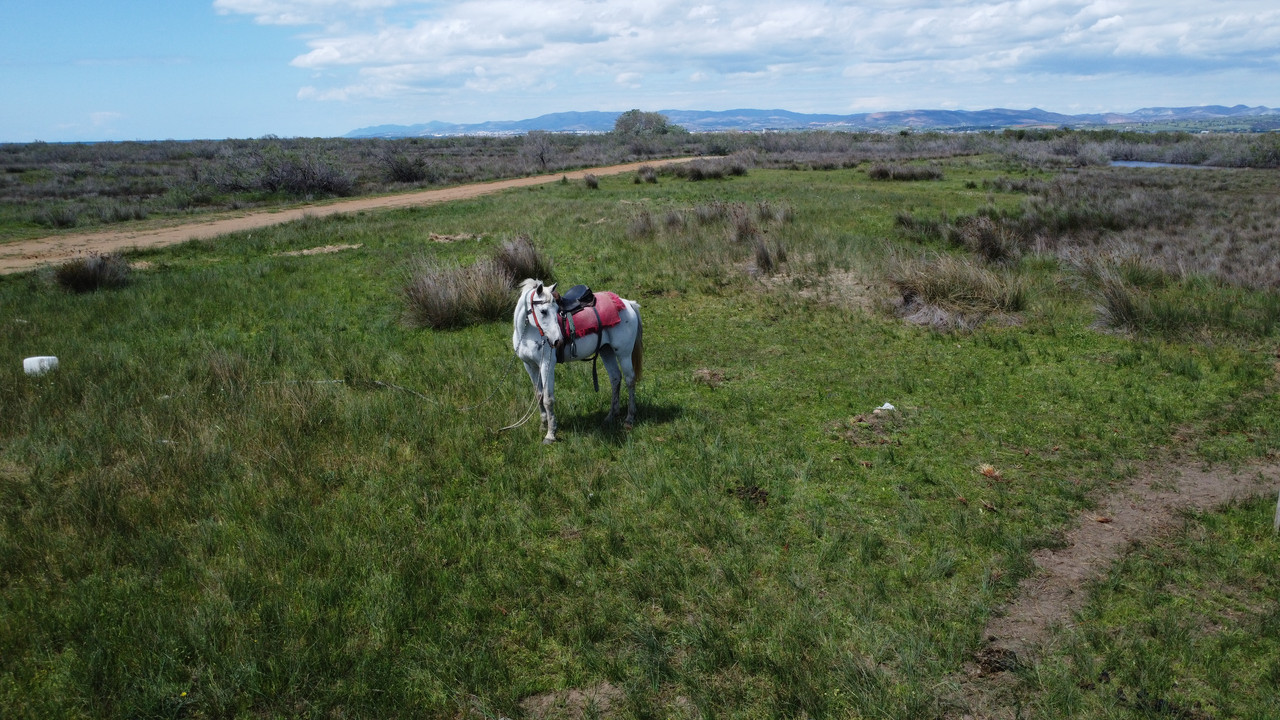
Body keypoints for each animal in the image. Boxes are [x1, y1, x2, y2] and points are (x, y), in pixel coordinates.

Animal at [514, 278, 645, 440]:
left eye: (557, 310)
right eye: (543, 311)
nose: (557, 341)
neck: (528, 333)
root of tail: (627, 303)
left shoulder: (546, 365)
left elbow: (548, 398)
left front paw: (550, 434)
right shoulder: (530, 366)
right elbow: (538, 395)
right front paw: (543, 426)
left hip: (624, 354)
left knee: (629, 380)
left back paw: (629, 418)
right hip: (606, 351)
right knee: (615, 378)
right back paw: (610, 416)